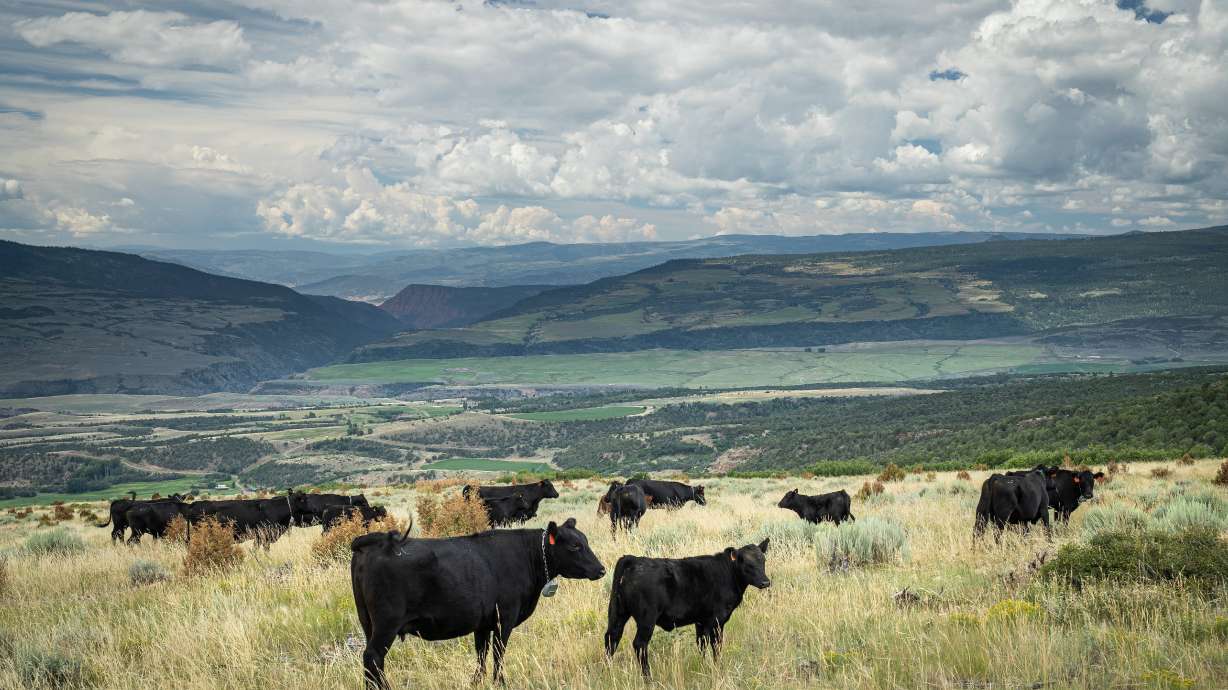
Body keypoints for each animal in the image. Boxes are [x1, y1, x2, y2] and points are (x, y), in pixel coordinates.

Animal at [350, 518, 606, 689]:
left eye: (584, 541)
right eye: (574, 546)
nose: (601, 569)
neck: (527, 556)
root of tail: (376, 541)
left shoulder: (482, 622)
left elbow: (481, 652)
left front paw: (477, 681)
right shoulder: (505, 617)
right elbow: (498, 652)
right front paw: (500, 681)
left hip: (368, 622)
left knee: (373, 661)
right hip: (387, 623)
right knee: (373, 657)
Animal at [604, 539, 771, 677]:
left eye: (763, 560)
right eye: (747, 564)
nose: (765, 582)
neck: (728, 573)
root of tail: (634, 559)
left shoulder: (701, 621)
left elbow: (701, 643)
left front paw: (703, 666)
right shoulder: (717, 620)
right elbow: (716, 645)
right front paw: (717, 668)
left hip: (618, 613)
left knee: (612, 638)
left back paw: (608, 671)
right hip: (647, 619)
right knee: (639, 644)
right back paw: (648, 678)